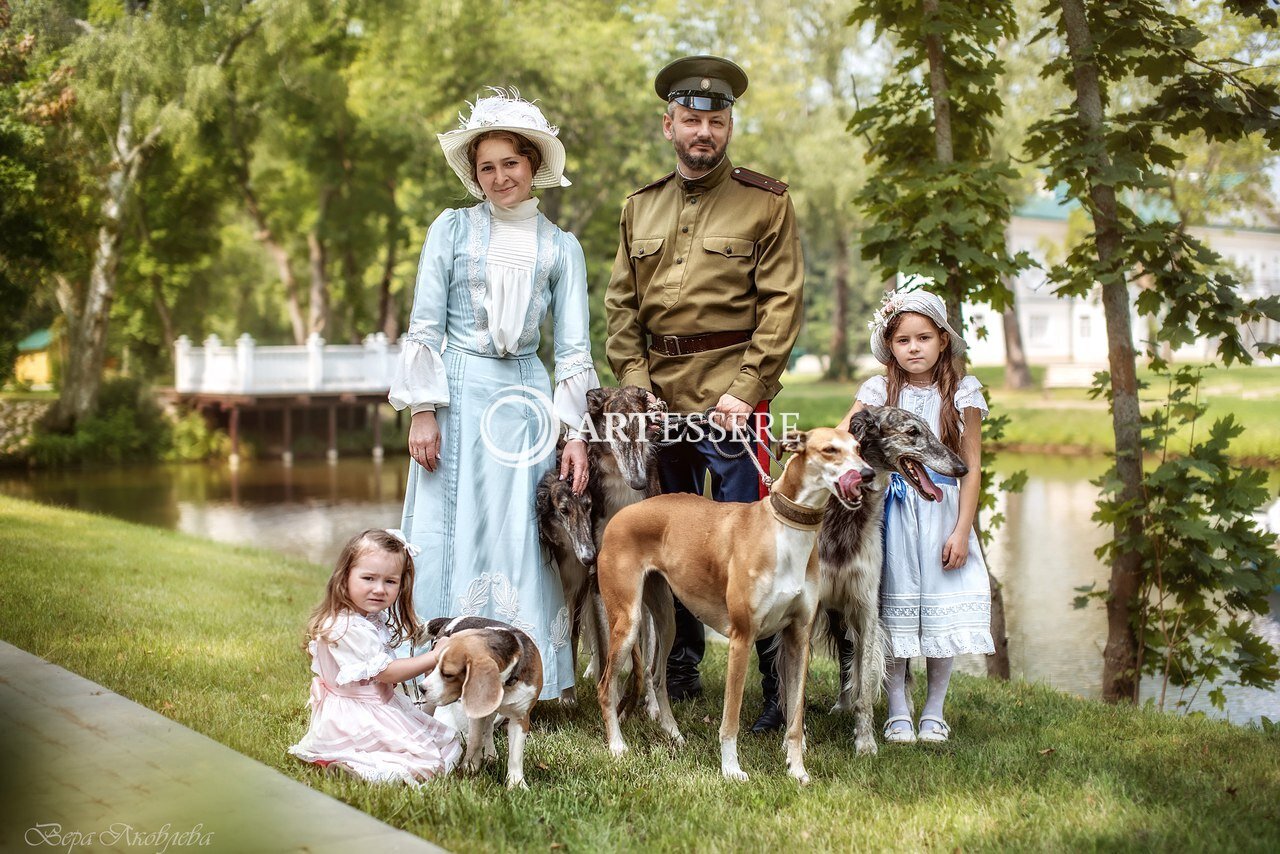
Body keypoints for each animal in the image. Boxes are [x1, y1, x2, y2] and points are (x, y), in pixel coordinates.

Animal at [419, 614, 540, 788]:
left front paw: (516, 784)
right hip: (430, 704)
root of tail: (450, 619)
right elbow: (475, 740)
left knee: (488, 729)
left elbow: (516, 755)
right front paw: (469, 767)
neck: (505, 682)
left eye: (448, 674)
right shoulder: (476, 712)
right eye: (436, 665)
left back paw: (490, 755)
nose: (421, 688)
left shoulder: (521, 717)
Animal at [593, 425, 875, 783]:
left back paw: (675, 735)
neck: (785, 531)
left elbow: (795, 719)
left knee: (656, 676)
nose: (866, 475)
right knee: (606, 686)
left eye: (859, 449)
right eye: (829, 450)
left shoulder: (799, 638)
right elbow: (731, 720)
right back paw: (617, 746)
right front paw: (731, 769)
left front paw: (797, 770)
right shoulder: (742, 638)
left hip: (667, 620)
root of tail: (621, 514)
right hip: (628, 621)